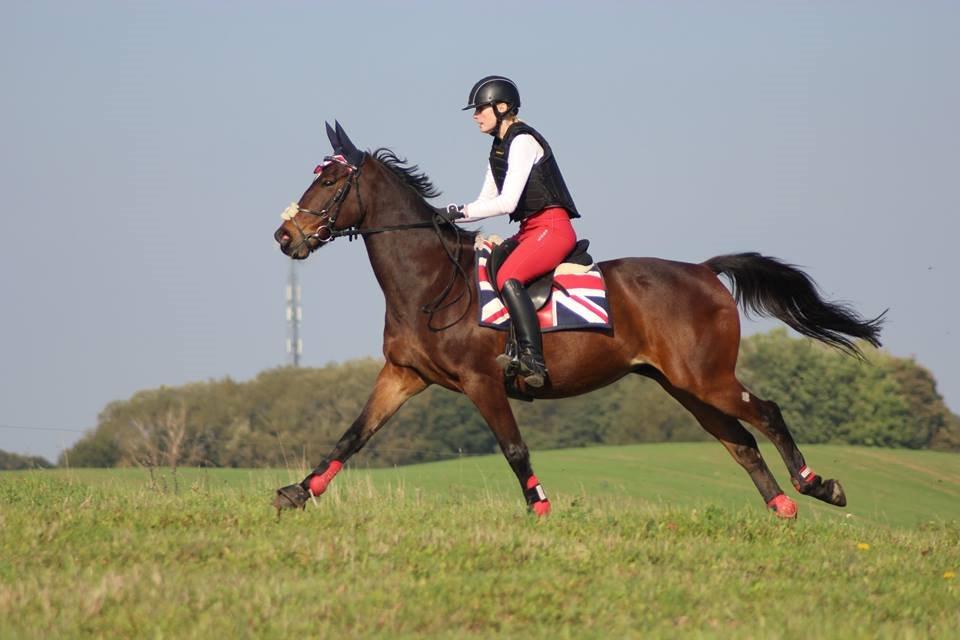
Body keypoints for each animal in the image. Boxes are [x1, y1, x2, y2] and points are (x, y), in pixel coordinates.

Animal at [270, 121, 884, 520]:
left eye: (329, 183)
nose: (284, 236)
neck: (430, 283)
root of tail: (704, 272)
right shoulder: (403, 376)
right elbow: (352, 435)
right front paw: (299, 493)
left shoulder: (481, 381)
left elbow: (514, 448)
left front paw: (540, 509)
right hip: (684, 386)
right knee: (740, 441)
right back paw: (781, 507)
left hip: (706, 378)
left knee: (768, 413)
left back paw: (816, 485)